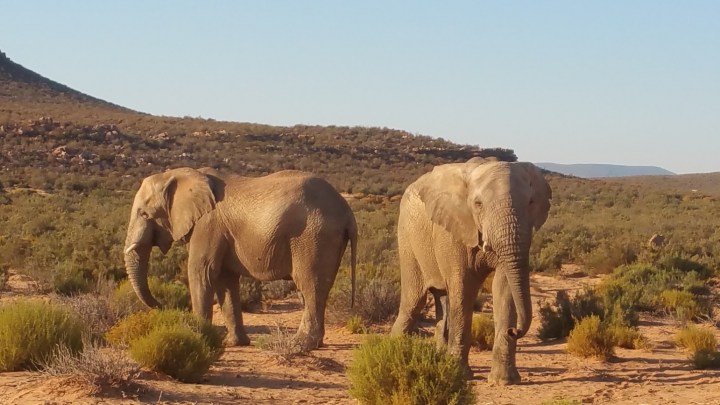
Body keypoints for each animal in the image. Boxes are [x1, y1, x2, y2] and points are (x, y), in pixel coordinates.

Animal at [123, 167, 357, 350]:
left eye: (144, 214)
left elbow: (202, 271)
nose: (162, 306)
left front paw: (196, 338)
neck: (177, 175)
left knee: (310, 285)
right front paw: (235, 343)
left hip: (313, 236)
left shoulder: (208, 225)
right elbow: (226, 281)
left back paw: (300, 345)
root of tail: (347, 211)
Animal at [390, 157, 552, 385]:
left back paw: (438, 358)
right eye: (478, 204)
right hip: (407, 236)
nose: (514, 331)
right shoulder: (453, 229)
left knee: (441, 299)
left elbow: (504, 287)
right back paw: (391, 353)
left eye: (530, 203)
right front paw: (459, 375)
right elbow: (463, 288)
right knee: (414, 301)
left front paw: (504, 381)